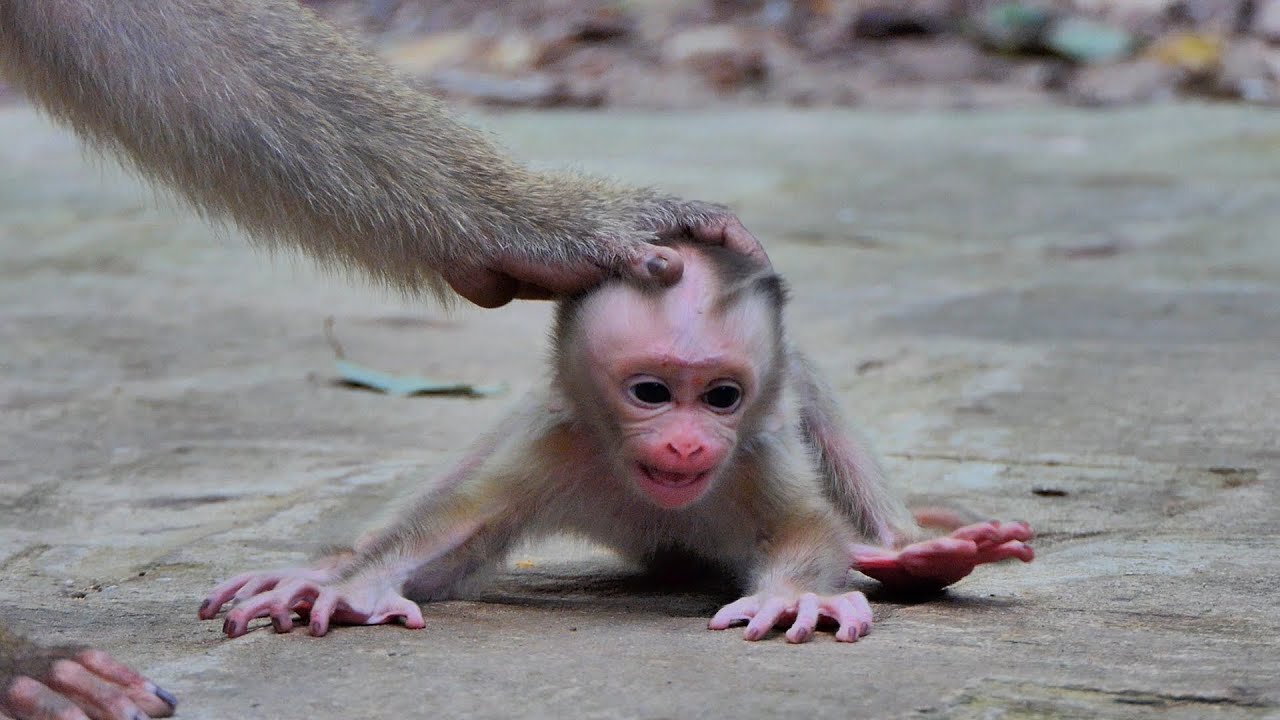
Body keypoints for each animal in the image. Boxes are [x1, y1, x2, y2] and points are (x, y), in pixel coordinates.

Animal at [199, 243, 1034, 645]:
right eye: (652, 393)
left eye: (721, 397)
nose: (689, 446)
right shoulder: (564, 436)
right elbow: (454, 531)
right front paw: (351, 586)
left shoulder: (758, 445)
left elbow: (805, 529)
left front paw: (795, 595)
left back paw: (918, 555)